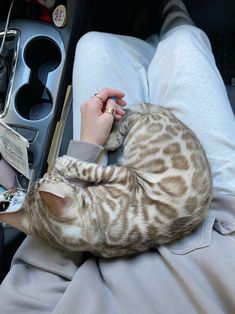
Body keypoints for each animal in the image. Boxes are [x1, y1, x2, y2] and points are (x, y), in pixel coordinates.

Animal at [0, 103, 213, 258]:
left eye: (47, 177)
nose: (44, 174)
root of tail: (168, 115)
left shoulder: (123, 175)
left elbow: (87, 169)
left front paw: (63, 161)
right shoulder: (124, 175)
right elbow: (88, 169)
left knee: (134, 114)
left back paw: (112, 138)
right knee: (135, 114)